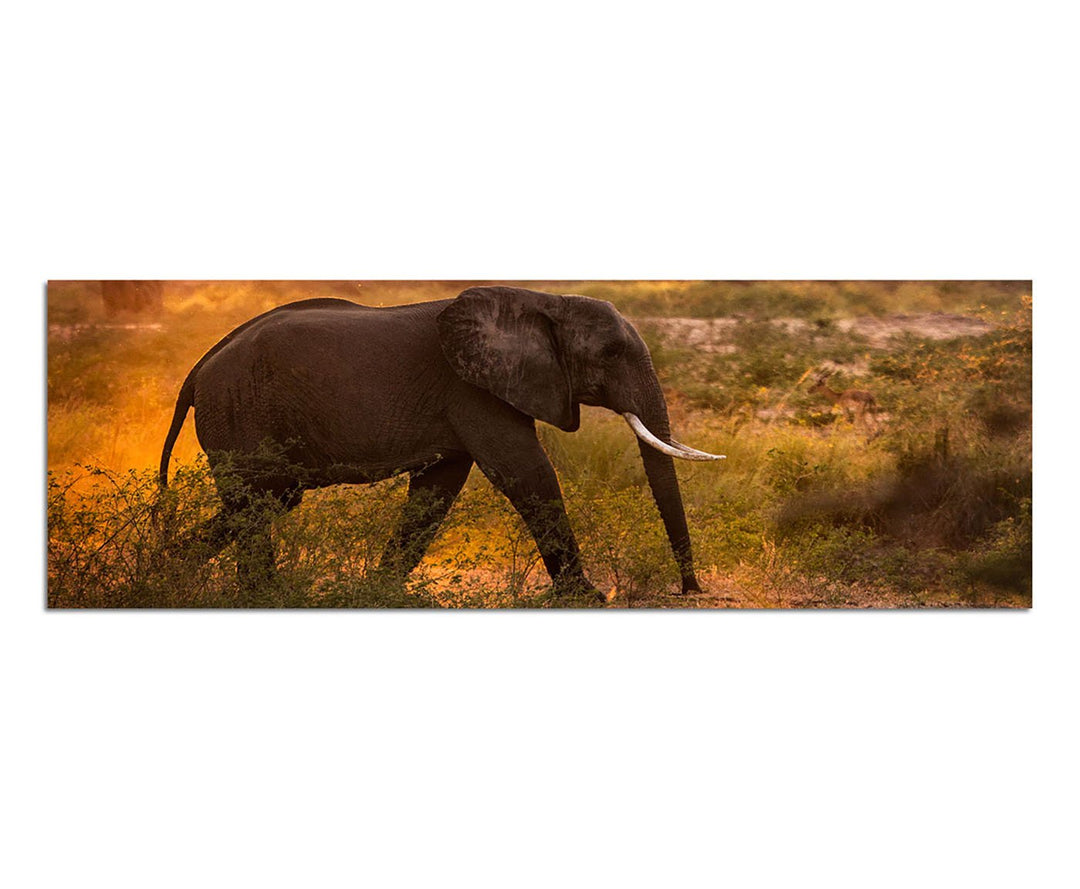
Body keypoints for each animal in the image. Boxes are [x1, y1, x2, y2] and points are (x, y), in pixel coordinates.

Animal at [158, 285, 724, 599]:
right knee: (258, 501)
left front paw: (378, 592)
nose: (689, 589)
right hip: (240, 412)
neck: (542, 301)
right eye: (609, 353)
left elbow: (437, 490)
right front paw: (588, 598)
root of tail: (198, 370)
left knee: (266, 502)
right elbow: (528, 473)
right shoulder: (472, 389)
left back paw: (171, 572)